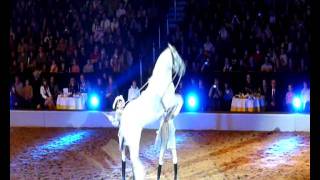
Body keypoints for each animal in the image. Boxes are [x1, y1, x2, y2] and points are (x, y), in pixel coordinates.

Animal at [118, 44, 186, 180]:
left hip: (126, 140)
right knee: (133, 159)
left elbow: (179, 98)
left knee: (125, 158)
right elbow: (180, 98)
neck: (162, 81)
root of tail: (124, 114)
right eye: (176, 55)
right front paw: (174, 113)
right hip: (134, 138)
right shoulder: (170, 100)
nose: (184, 68)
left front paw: (171, 114)